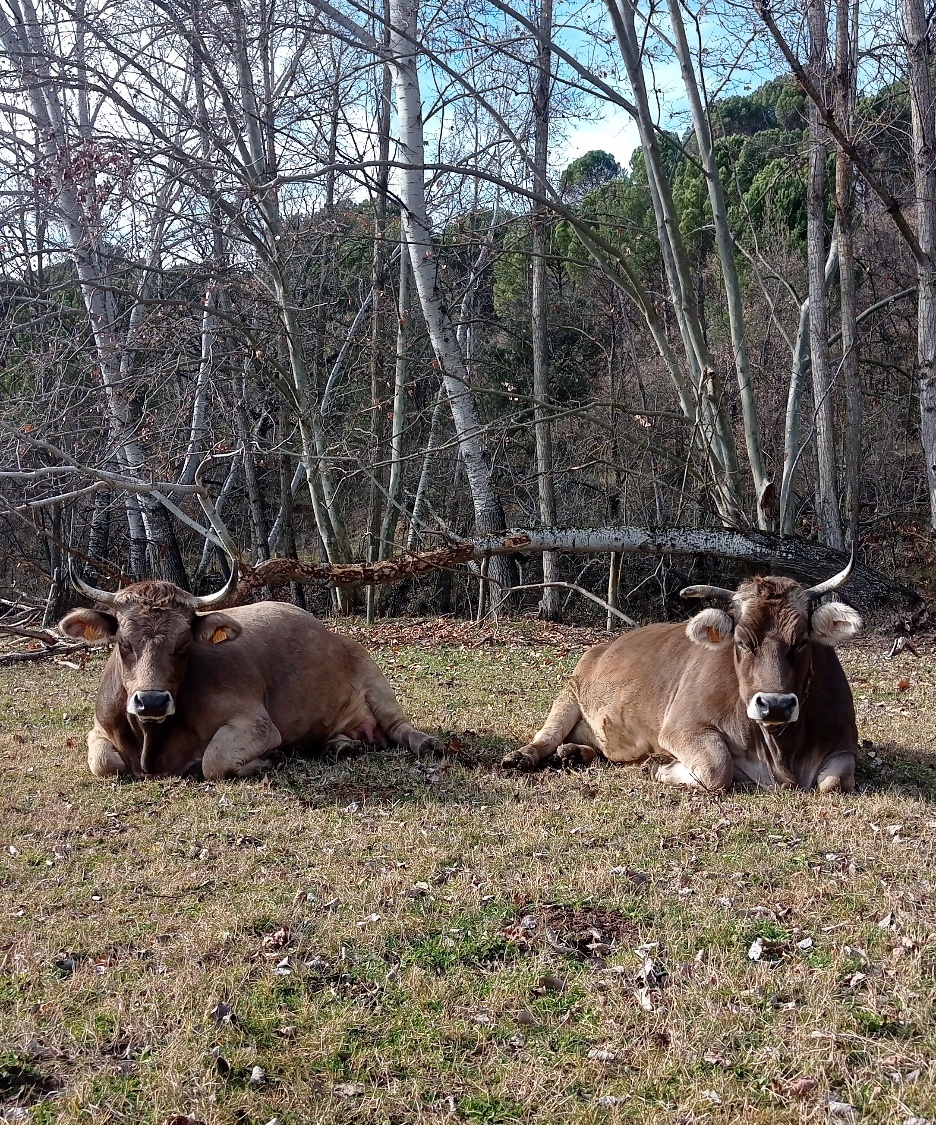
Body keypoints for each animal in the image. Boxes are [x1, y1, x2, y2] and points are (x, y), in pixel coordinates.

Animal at [59, 567, 440, 780]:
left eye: (183, 644)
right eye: (123, 642)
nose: (151, 701)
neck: (152, 744)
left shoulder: (257, 724)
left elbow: (213, 762)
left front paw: (269, 759)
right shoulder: (98, 730)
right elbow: (104, 763)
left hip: (376, 680)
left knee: (400, 727)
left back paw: (427, 744)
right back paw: (341, 746)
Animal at [502, 557, 862, 792]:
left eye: (802, 640)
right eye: (742, 641)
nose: (775, 705)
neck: (780, 754)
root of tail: (602, 645)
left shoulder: (844, 744)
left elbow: (834, 782)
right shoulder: (682, 727)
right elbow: (717, 768)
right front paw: (660, 767)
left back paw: (575, 753)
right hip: (569, 693)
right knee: (545, 737)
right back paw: (522, 758)